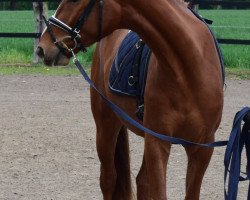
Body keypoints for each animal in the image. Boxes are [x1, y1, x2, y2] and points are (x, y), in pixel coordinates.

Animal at [36, 0, 224, 198]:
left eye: (73, 1)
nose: (42, 47)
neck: (188, 70)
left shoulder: (202, 149)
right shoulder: (157, 143)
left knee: (141, 180)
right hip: (106, 127)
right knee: (108, 179)